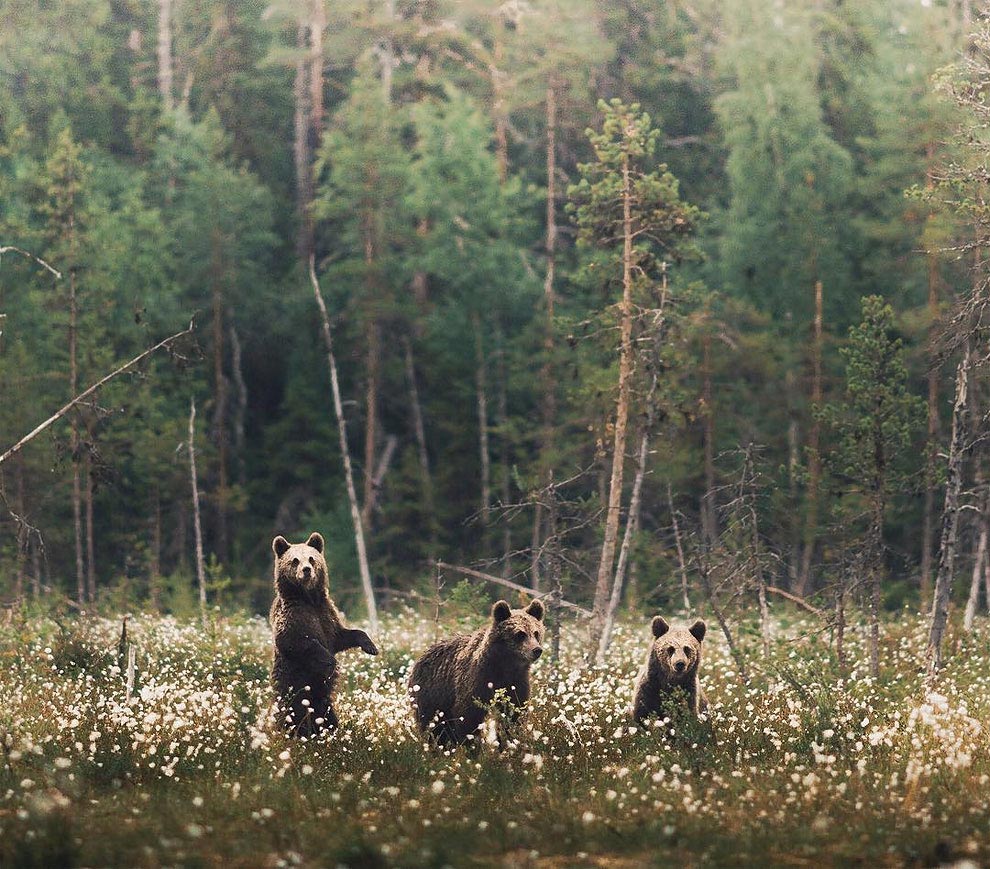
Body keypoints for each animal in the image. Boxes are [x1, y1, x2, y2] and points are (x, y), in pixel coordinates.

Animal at [270, 532, 378, 736]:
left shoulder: (326, 614)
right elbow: (296, 642)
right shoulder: (293, 617)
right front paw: (330, 663)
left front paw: (371, 647)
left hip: (325, 705)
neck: (308, 598)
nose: (306, 570)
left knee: (329, 720)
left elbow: (343, 635)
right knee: (289, 717)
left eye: (312, 558)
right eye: (295, 560)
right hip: (293, 695)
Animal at [410, 596, 552, 744]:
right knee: (432, 725)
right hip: (431, 694)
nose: (537, 650)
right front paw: (471, 744)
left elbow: (513, 713)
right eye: (520, 634)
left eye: (536, 633)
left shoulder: (517, 681)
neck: (505, 665)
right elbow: (468, 716)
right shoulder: (477, 680)